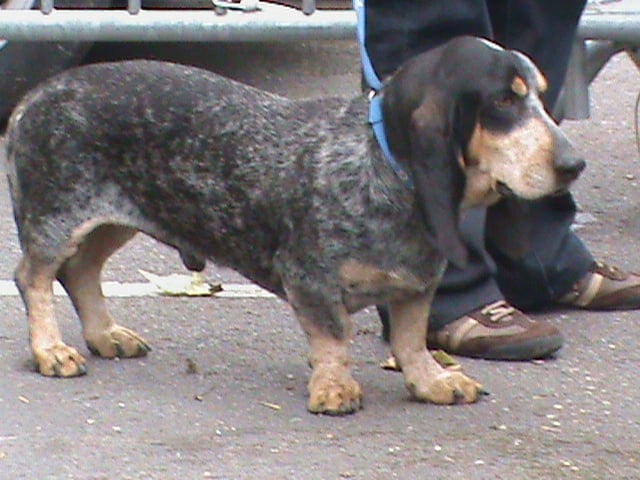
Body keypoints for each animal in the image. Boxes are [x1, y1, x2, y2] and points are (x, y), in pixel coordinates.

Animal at [5, 36, 584, 415]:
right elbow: (334, 335)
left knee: (81, 272)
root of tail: (33, 97)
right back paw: (50, 350)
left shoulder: (417, 284)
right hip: (59, 216)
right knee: (34, 276)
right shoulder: (309, 278)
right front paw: (334, 388)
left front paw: (432, 380)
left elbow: (411, 339)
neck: (378, 163)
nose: (573, 164)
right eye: (504, 100)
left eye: (540, 94)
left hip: (110, 220)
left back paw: (105, 335)